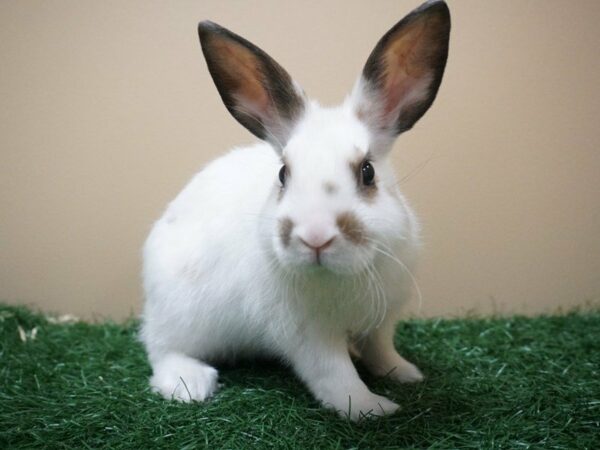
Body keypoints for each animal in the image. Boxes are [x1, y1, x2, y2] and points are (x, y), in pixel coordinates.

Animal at [141, 0, 450, 422]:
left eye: (367, 172)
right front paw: (372, 408)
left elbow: (381, 350)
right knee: (160, 348)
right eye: (283, 174)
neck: (340, 276)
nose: (315, 237)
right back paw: (189, 384)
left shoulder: (382, 319)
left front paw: (405, 373)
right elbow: (335, 376)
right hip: (180, 315)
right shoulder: (308, 335)